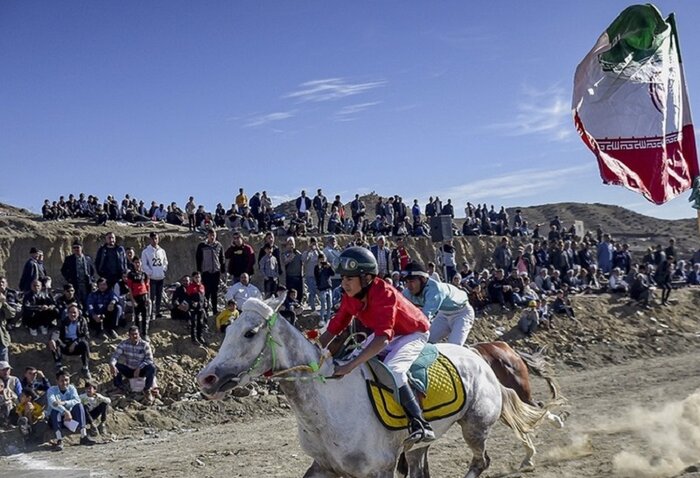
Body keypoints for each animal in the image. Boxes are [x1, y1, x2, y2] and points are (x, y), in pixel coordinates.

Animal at [197, 296, 552, 476]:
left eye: (249, 333)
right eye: (227, 330)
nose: (206, 378)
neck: (328, 407)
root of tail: (480, 357)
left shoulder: (378, 470)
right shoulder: (323, 467)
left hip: (475, 427)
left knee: (480, 462)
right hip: (419, 446)